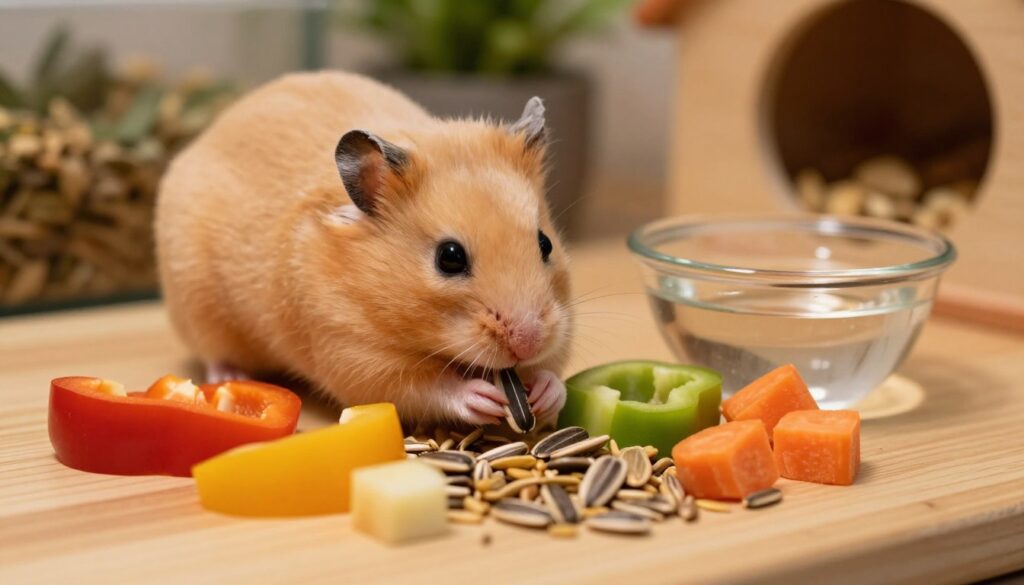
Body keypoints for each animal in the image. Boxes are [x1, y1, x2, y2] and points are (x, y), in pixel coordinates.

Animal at [155, 71, 573, 428]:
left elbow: (552, 368)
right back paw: (231, 373)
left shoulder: (562, 321)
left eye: (545, 243)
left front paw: (545, 393)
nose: (529, 341)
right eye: (449, 257)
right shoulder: (353, 351)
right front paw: (481, 396)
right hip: (199, 304)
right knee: (215, 353)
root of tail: (209, 132)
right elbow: (426, 386)